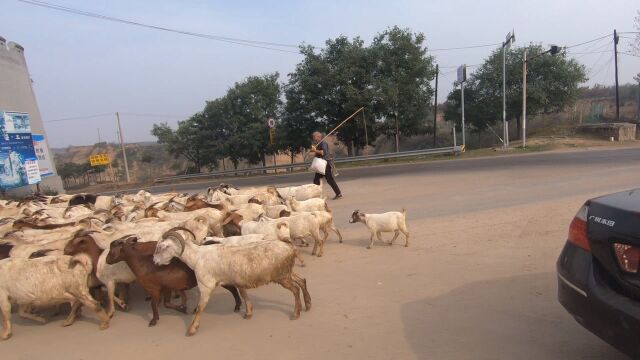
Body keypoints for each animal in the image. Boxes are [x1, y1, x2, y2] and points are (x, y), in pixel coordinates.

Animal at [106, 236, 241, 326]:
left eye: (112, 248)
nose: (107, 261)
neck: (142, 263)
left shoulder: (154, 288)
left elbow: (153, 304)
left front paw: (153, 320)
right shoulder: (166, 288)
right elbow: (166, 303)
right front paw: (183, 308)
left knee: (233, 289)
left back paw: (237, 306)